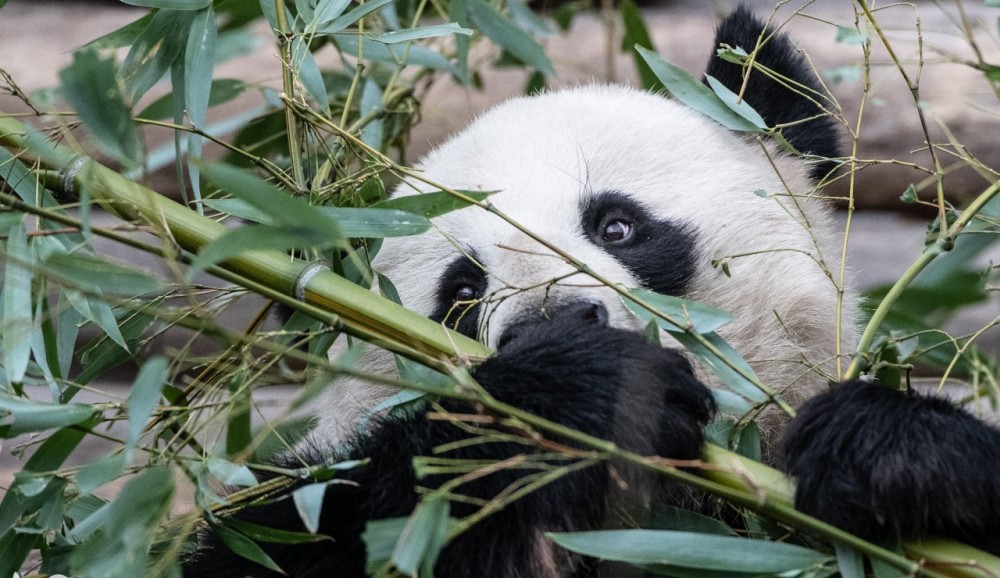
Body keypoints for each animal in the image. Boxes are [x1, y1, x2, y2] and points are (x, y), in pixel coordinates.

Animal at [186, 5, 1000, 576]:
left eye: (617, 226)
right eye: (462, 292)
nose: (561, 320)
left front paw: (887, 450)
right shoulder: (306, 493)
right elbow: (305, 533)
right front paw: (577, 392)